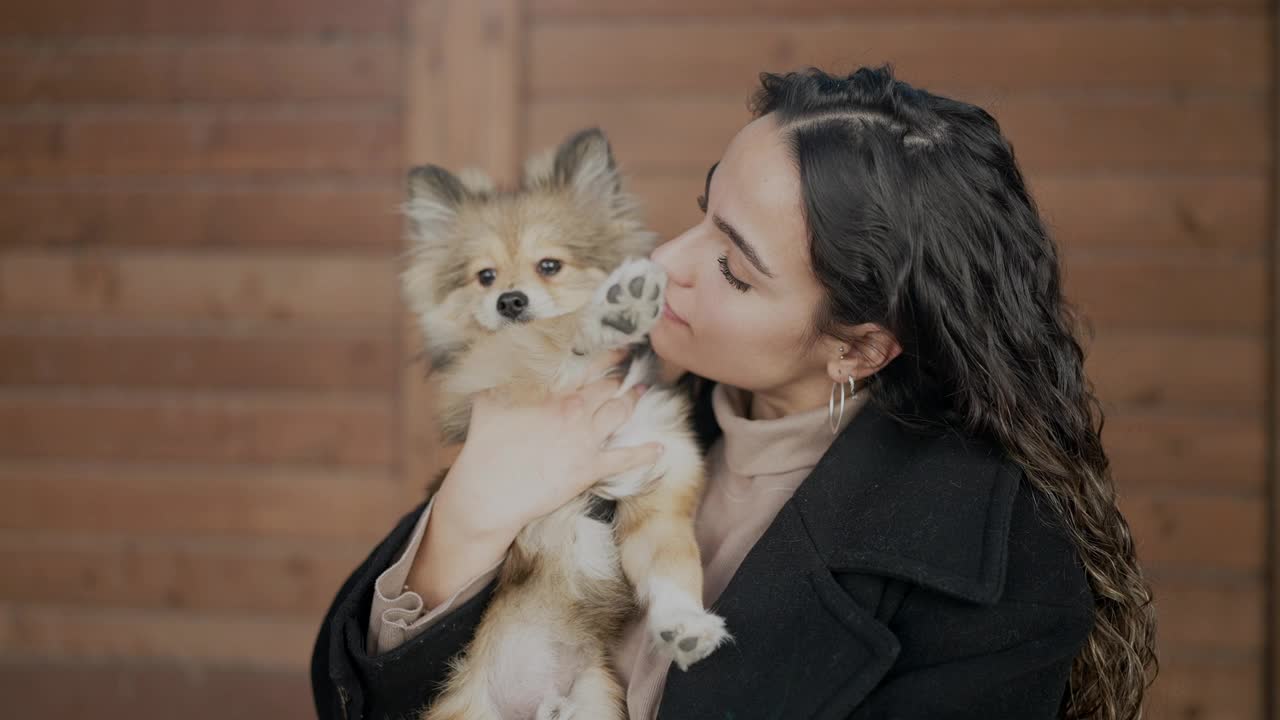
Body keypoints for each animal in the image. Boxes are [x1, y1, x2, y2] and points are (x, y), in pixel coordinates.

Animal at [404, 128, 737, 717]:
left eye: (550, 266)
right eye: (485, 276)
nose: (510, 300)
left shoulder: (661, 492)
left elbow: (676, 566)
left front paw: (686, 624)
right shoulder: (494, 368)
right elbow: (549, 336)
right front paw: (609, 316)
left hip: (594, 699)